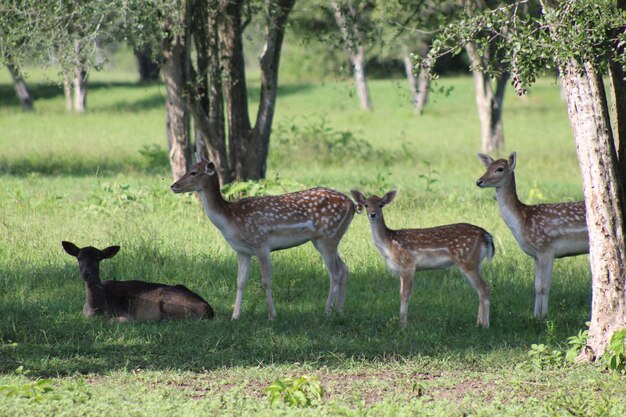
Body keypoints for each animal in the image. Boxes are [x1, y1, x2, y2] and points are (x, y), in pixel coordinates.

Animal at [62, 240, 214, 322]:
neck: (95, 309)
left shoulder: (125, 315)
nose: (86, 274)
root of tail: (209, 309)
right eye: (79, 257)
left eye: (98, 258)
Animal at [169, 158, 356, 318]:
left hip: (327, 236)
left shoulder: (261, 243)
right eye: (188, 169)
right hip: (325, 239)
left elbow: (266, 281)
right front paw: (235, 316)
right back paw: (339, 310)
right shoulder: (242, 251)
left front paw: (272, 315)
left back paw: (327, 311)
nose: (173, 186)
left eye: (193, 172)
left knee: (335, 273)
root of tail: (353, 205)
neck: (230, 219)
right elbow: (240, 282)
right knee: (345, 268)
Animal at [348, 189, 490, 328]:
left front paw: (403, 325)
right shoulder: (401, 269)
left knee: (484, 288)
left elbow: (405, 294)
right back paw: (478, 323)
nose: (372, 214)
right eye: (366, 204)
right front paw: (401, 322)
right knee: (480, 289)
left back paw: (484, 325)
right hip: (475, 262)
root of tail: (487, 236)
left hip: (467, 259)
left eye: (381, 204)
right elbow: (400, 293)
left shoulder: (408, 264)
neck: (389, 244)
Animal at [476, 151, 588, 316]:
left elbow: (544, 286)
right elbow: (536, 286)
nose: (479, 181)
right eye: (487, 167)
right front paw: (535, 315)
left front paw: (544, 316)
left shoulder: (545, 248)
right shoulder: (535, 255)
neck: (522, 221)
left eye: (500, 169)